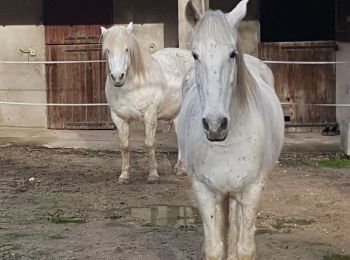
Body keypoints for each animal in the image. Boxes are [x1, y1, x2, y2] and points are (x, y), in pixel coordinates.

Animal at [101, 23, 193, 184]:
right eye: (108, 50)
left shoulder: (150, 116)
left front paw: (153, 175)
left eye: (127, 49)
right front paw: (124, 176)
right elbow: (124, 146)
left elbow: (149, 144)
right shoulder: (119, 118)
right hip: (178, 112)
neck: (131, 87)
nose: (117, 77)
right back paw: (180, 168)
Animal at [178, 1, 284, 258]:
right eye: (195, 55)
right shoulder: (204, 191)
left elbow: (243, 248)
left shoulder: (251, 190)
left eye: (232, 54)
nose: (215, 124)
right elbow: (215, 248)